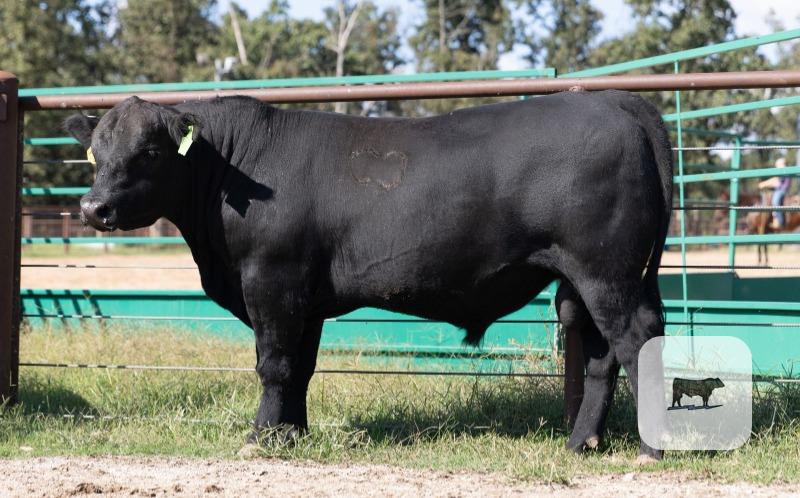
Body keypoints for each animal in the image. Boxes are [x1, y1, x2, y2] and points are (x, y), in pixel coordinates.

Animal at [65, 90, 672, 461]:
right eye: (94, 154)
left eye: (149, 151)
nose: (94, 209)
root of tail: (612, 99)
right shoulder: (304, 298)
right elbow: (300, 369)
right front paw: (292, 435)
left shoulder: (271, 280)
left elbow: (273, 365)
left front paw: (261, 439)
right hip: (589, 281)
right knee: (601, 355)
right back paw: (581, 444)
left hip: (606, 272)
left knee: (635, 340)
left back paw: (651, 449)